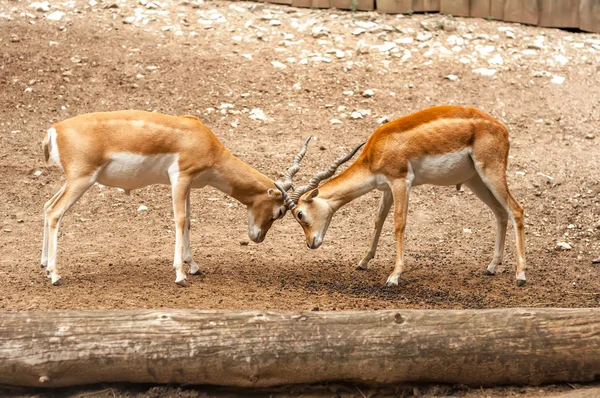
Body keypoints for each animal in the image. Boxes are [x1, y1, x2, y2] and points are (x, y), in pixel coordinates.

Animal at [41, 110, 310, 286]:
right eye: (279, 212)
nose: (257, 237)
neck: (202, 140)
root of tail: (55, 130)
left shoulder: (188, 184)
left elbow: (189, 221)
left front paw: (194, 266)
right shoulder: (180, 178)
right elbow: (179, 220)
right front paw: (180, 275)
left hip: (73, 181)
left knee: (46, 205)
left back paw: (44, 265)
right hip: (81, 180)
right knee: (55, 212)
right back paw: (55, 275)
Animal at [276, 105, 524, 286]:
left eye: (300, 214)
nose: (311, 243)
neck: (376, 151)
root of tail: (502, 129)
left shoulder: (401, 181)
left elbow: (399, 223)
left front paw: (394, 276)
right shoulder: (386, 188)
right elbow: (378, 220)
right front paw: (363, 262)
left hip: (491, 172)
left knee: (516, 210)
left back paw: (520, 275)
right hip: (475, 180)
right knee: (500, 213)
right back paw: (492, 267)